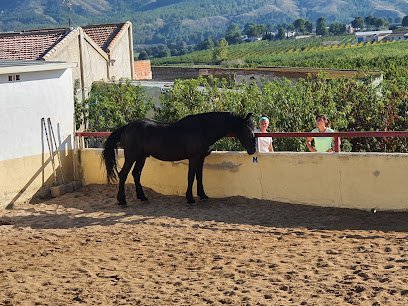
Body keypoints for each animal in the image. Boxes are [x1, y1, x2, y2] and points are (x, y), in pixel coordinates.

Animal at [102, 111, 255, 204]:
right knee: (123, 174)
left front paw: (203, 195)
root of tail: (126, 127)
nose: (252, 150)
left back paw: (143, 197)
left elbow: (199, 176)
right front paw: (190, 198)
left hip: (141, 157)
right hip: (131, 156)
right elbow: (191, 176)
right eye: (248, 131)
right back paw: (122, 200)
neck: (203, 129)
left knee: (136, 174)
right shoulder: (193, 158)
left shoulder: (201, 158)